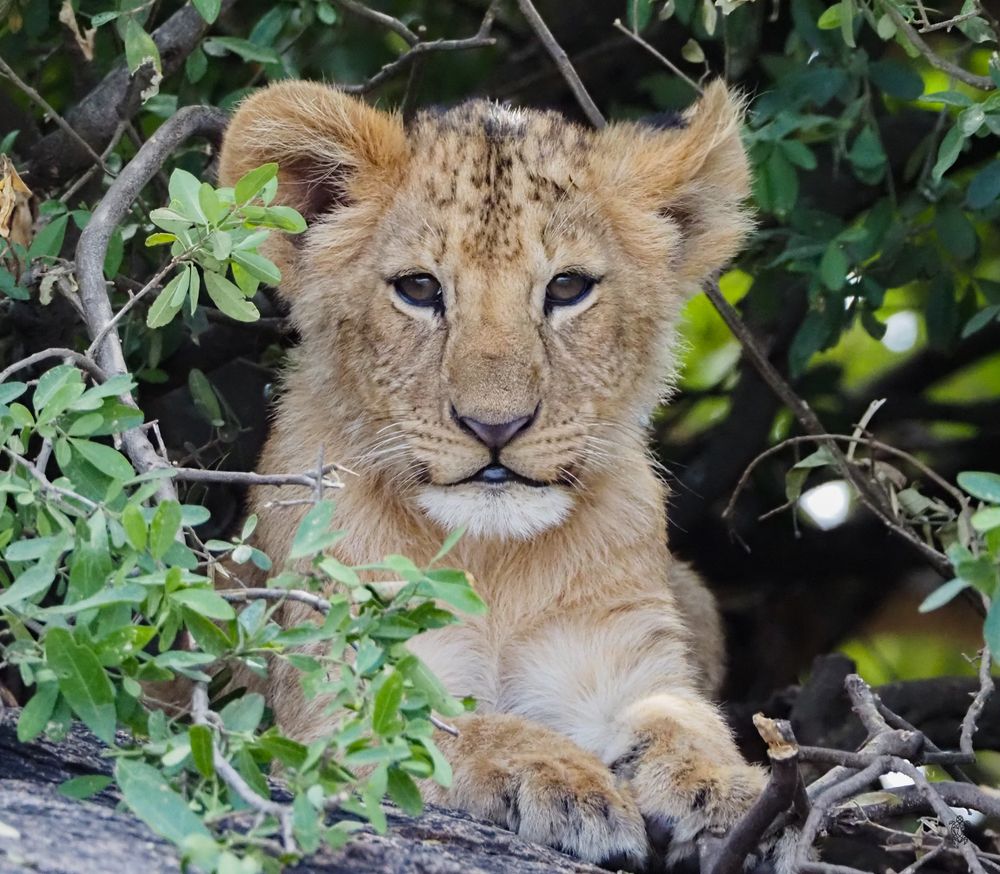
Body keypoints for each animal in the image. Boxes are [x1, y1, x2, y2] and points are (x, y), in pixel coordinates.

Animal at [217, 80, 769, 870]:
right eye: (419, 289)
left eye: (567, 288)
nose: (496, 427)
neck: (491, 562)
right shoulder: (334, 692)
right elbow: (451, 726)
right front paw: (565, 781)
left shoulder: (623, 655)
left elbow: (682, 718)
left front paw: (725, 790)